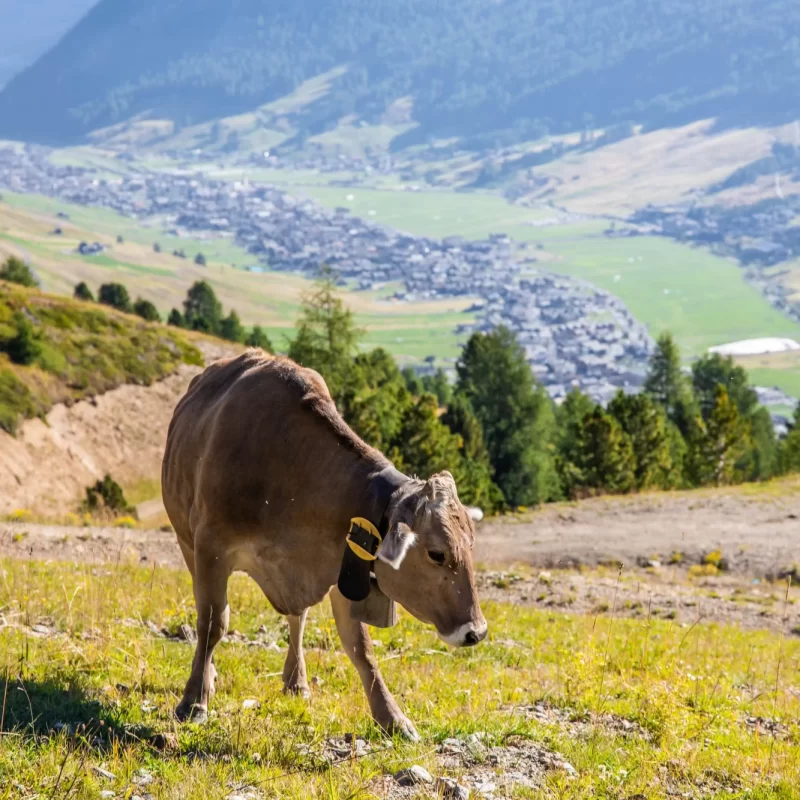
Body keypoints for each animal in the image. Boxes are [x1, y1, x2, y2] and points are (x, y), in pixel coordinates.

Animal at [161, 350, 487, 739]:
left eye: (472, 547)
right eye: (437, 554)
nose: (476, 632)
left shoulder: (346, 563)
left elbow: (361, 647)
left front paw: (392, 717)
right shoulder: (210, 547)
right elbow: (212, 623)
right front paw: (194, 700)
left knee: (297, 617)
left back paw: (296, 681)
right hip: (186, 540)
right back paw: (210, 676)